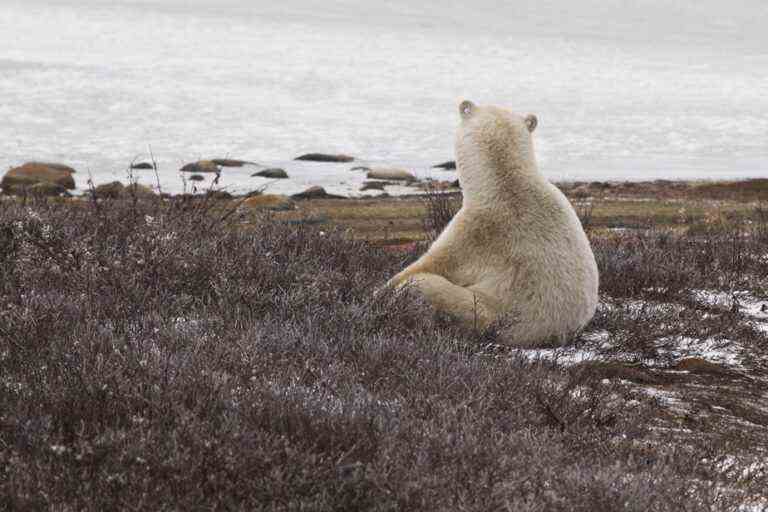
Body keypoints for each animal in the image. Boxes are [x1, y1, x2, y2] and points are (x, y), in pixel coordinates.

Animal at [390, 100, 600, 348]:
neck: (504, 183)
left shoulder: (477, 231)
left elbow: (431, 263)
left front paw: (378, 293)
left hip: (483, 309)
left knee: (424, 286)